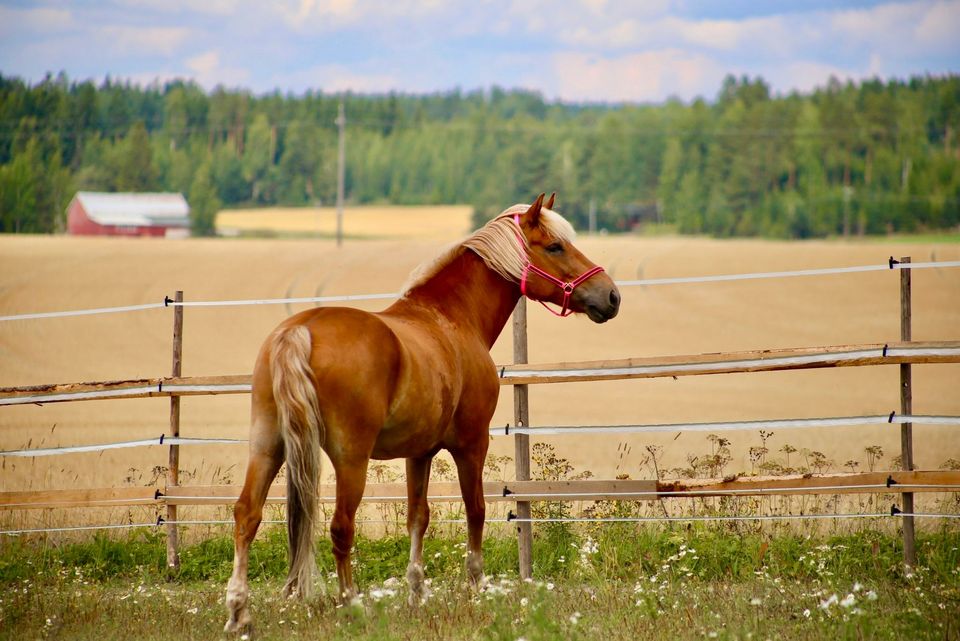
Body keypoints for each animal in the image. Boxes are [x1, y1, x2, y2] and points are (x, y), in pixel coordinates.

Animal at [225, 191, 624, 632]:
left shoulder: (419, 453)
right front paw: (477, 586)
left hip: (268, 447)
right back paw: (352, 605)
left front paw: (417, 592)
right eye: (555, 246)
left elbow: (419, 516)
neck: (451, 317)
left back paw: (239, 613)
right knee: (341, 528)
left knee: (247, 515)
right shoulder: (471, 444)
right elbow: (476, 510)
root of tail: (301, 330)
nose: (611, 296)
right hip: (350, 459)